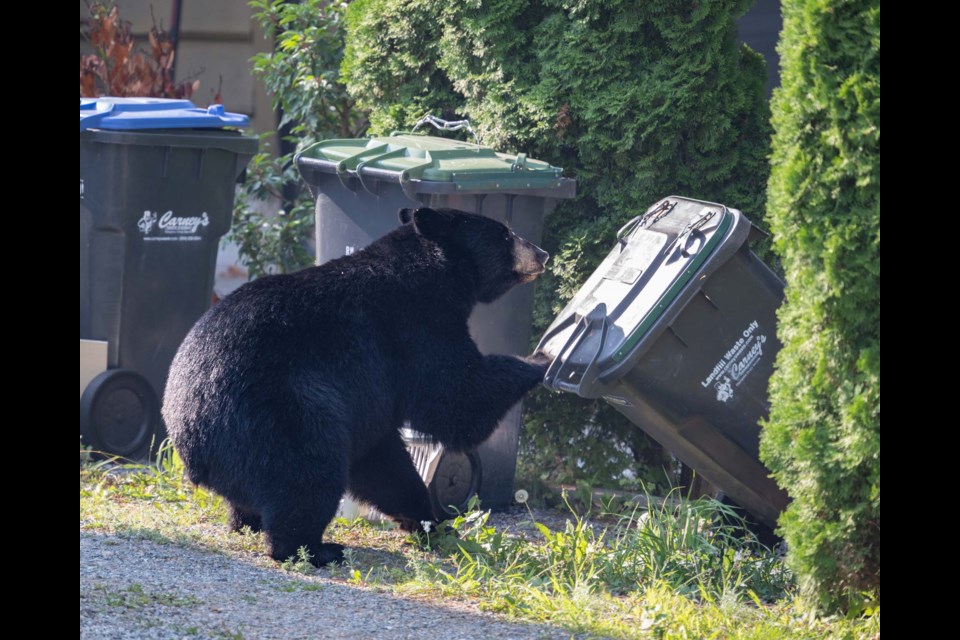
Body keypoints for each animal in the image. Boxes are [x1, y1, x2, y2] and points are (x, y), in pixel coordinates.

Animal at [162, 206, 552, 564]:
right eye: (505, 234)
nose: (543, 253)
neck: (430, 274)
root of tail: (191, 441)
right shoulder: (415, 329)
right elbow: (457, 397)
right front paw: (542, 358)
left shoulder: (374, 398)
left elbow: (384, 461)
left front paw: (433, 523)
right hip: (279, 414)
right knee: (307, 474)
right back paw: (316, 548)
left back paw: (247, 522)